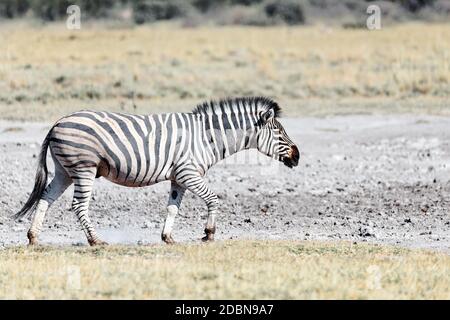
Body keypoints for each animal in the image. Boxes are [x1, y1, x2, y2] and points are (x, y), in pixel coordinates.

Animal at [15, 96, 300, 246]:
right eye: (279, 132)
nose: (297, 156)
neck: (207, 137)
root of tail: (57, 123)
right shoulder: (188, 172)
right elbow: (212, 198)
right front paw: (209, 234)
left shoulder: (178, 177)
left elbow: (172, 207)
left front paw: (167, 237)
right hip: (84, 168)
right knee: (78, 205)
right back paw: (96, 241)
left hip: (64, 170)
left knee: (46, 198)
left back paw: (33, 237)